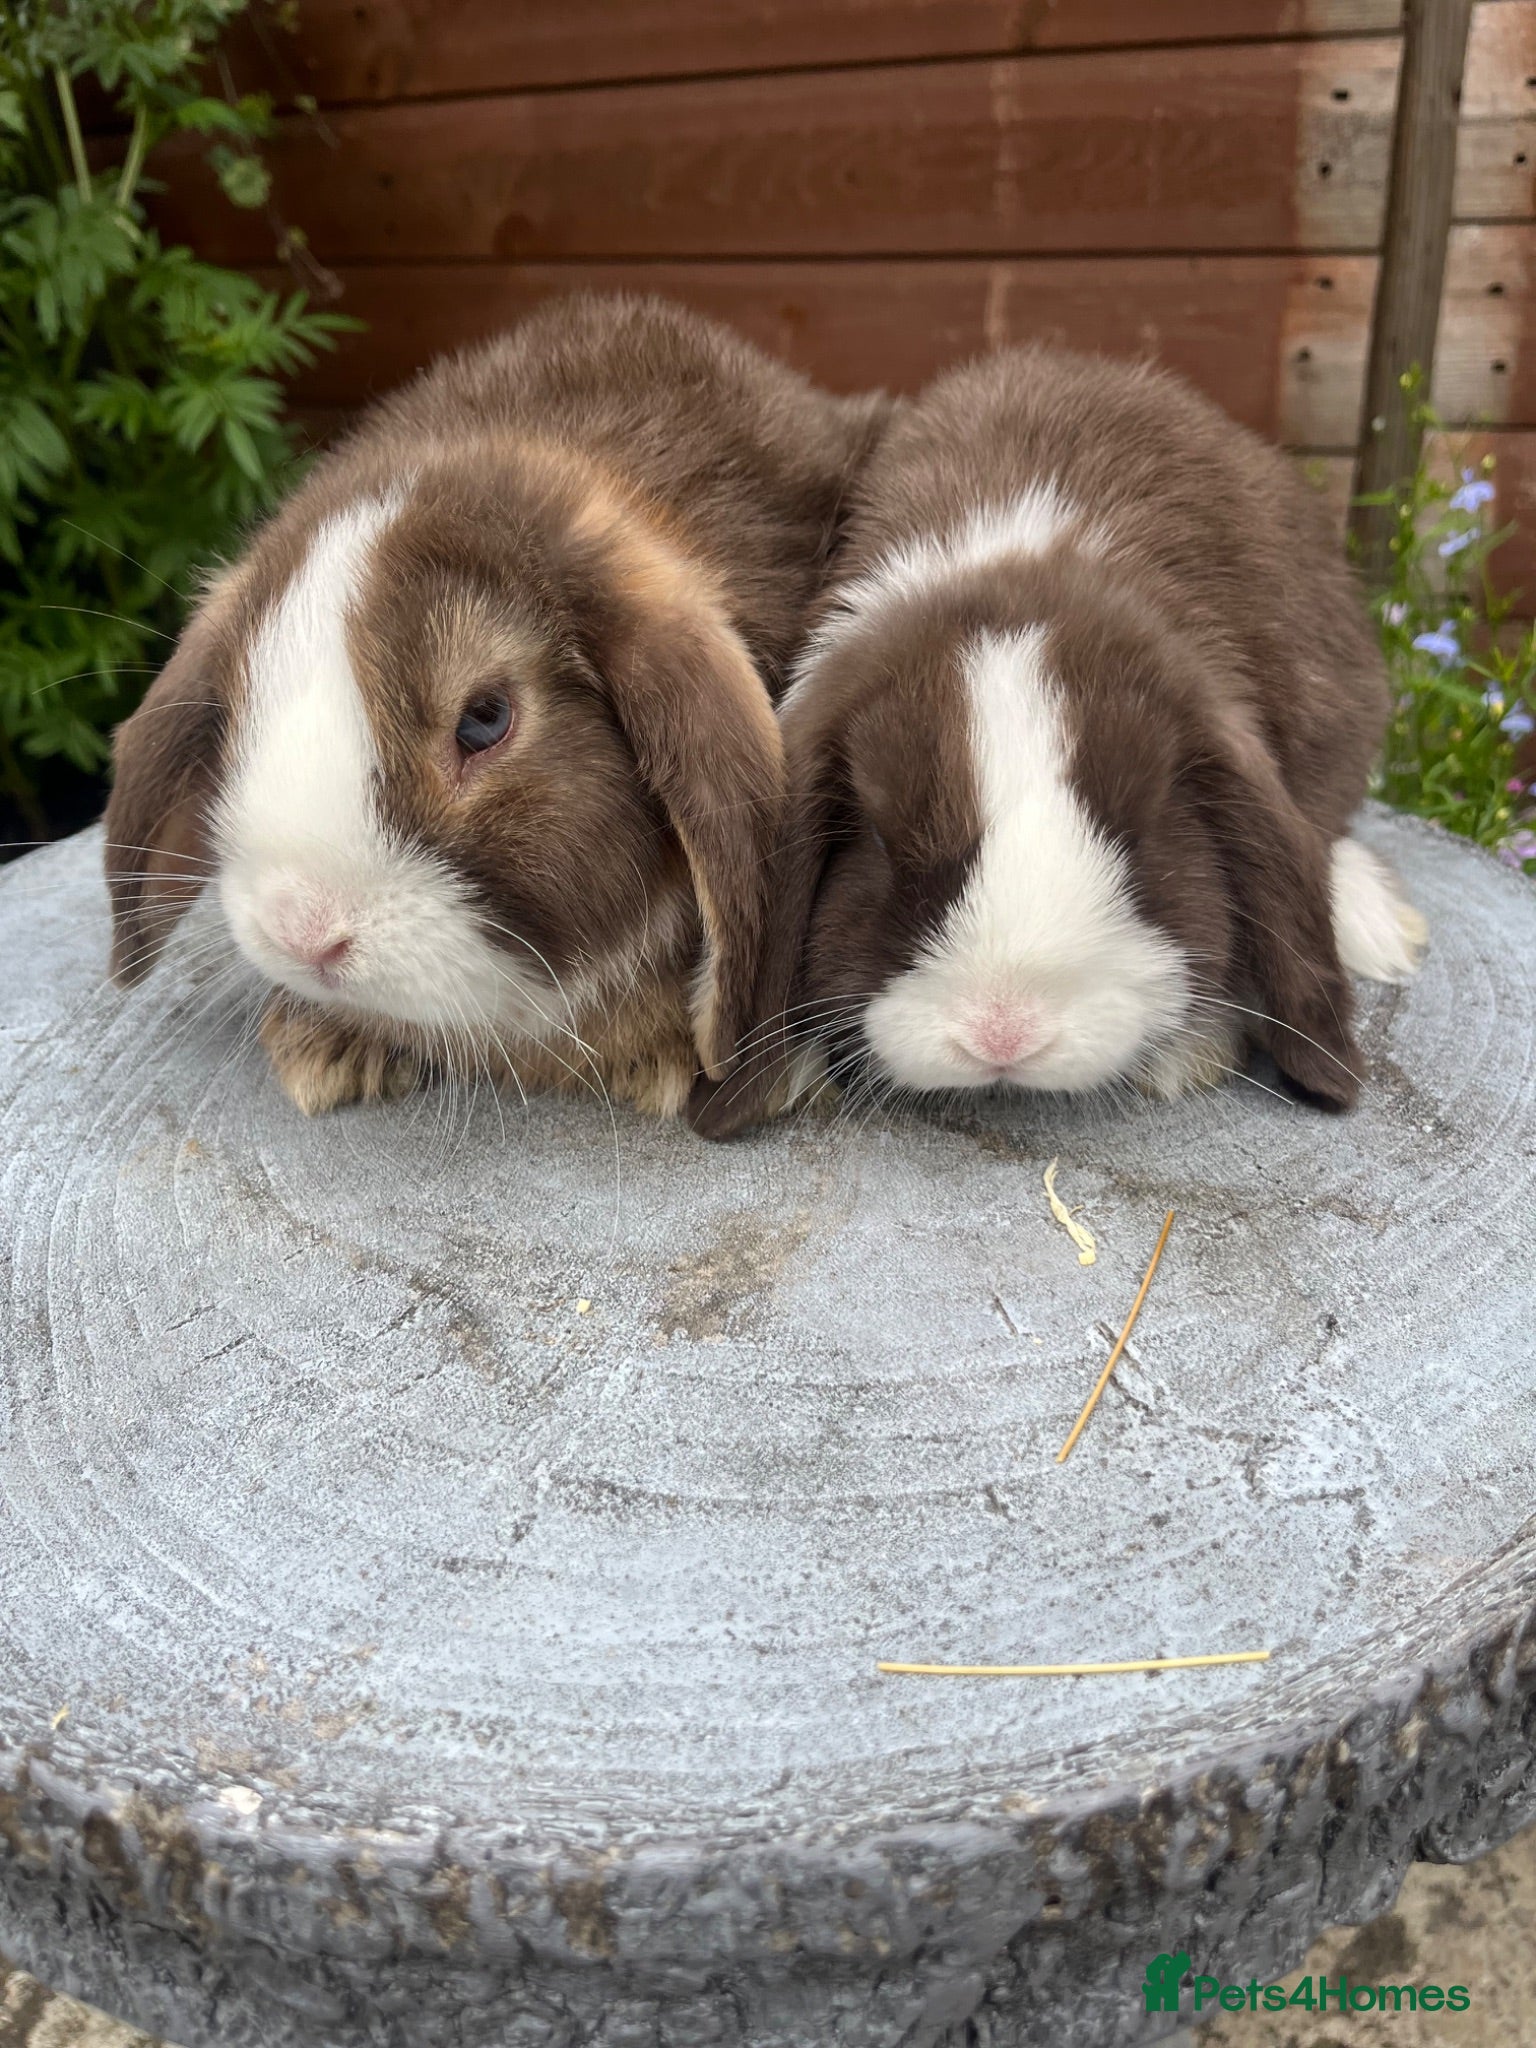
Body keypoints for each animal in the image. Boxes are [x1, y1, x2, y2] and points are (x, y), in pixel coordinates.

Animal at [687, 344, 1427, 1140]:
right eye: (881, 841)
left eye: (1138, 836)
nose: (1004, 1032)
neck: (1016, 568)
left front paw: (1188, 1054)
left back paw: (1377, 925)